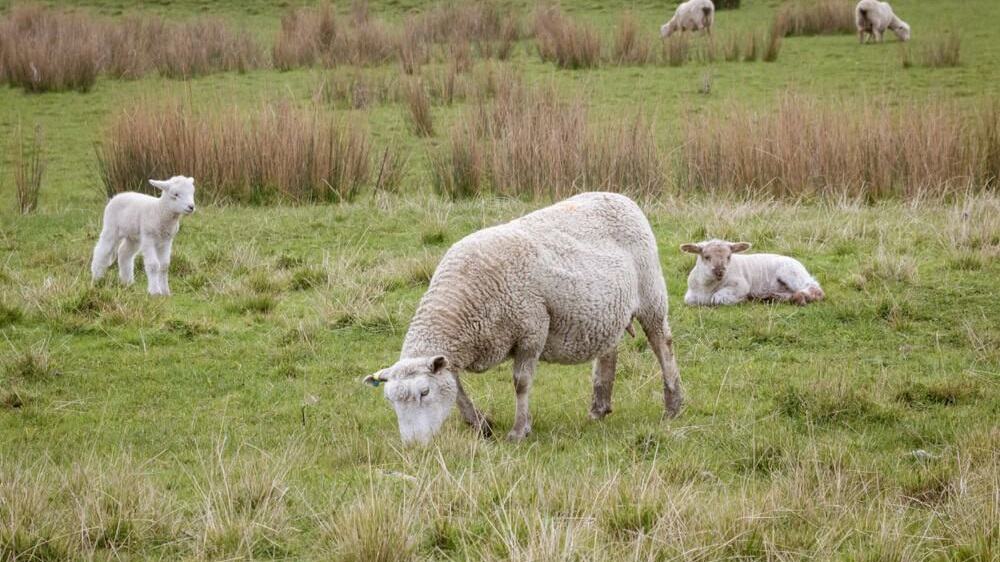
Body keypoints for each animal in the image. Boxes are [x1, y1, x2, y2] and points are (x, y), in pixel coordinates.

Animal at [363, 192, 682, 444]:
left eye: (424, 392)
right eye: (390, 400)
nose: (412, 446)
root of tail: (621, 197)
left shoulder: (532, 331)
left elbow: (521, 383)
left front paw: (519, 431)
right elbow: (458, 389)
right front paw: (481, 425)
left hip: (651, 294)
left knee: (662, 343)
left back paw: (673, 405)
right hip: (607, 309)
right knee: (609, 351)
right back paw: (599, 408)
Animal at [680, 239, 824, 306]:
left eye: (729, 257)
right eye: (706, 257)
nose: (719, 271)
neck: (707, 287)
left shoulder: (741, 285)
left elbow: (718, 298)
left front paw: (743, 299)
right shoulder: (690, 295)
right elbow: (690, 300)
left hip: (791, 272)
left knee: (814, 288)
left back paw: (800, 297)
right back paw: (771, 297)